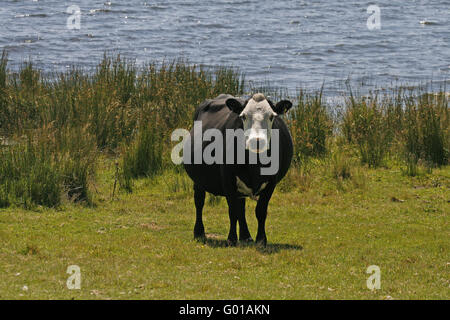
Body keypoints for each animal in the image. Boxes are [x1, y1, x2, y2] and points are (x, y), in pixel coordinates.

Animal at [184, 94, 294, 246]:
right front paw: (231, 239)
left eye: (272, 116)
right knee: (199, 202)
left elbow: (260, 211)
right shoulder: (227, 179)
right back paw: (199, 233)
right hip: (198, 179)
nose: (257, 141)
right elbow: (232, 211)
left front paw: (261, 240)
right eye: (243, 116)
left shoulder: (272, 181)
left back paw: (246, 236)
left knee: (241, 207)